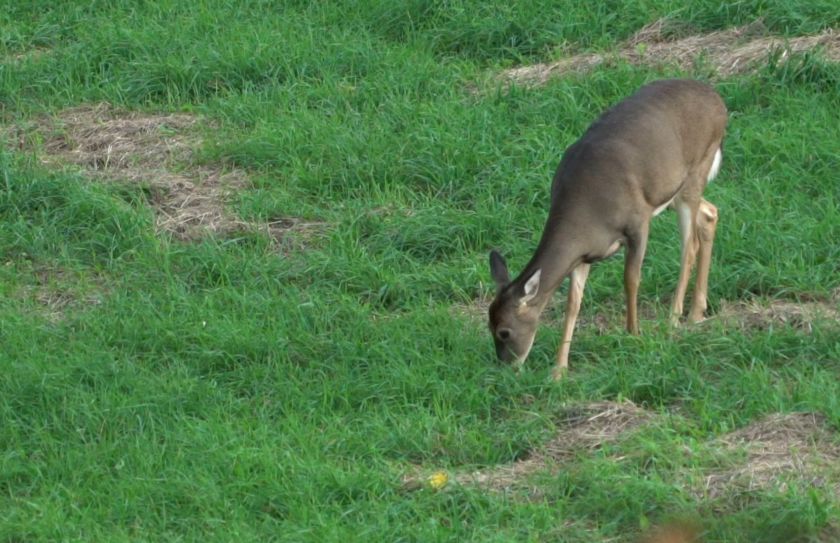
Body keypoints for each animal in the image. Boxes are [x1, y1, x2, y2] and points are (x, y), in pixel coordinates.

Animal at [488, 79, 724, 382]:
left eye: (504, 332)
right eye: (488, 324)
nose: (506, 368)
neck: (586, 212)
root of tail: (718, 99)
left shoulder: (638, 221)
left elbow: (631, 279)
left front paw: (633, 334)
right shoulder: (583, 254)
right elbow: (573, 303)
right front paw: (559, 370)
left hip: (696, 171)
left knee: (689, 247)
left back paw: (674, 318)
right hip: (677, 192)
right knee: (710, 214)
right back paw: (697, 312)